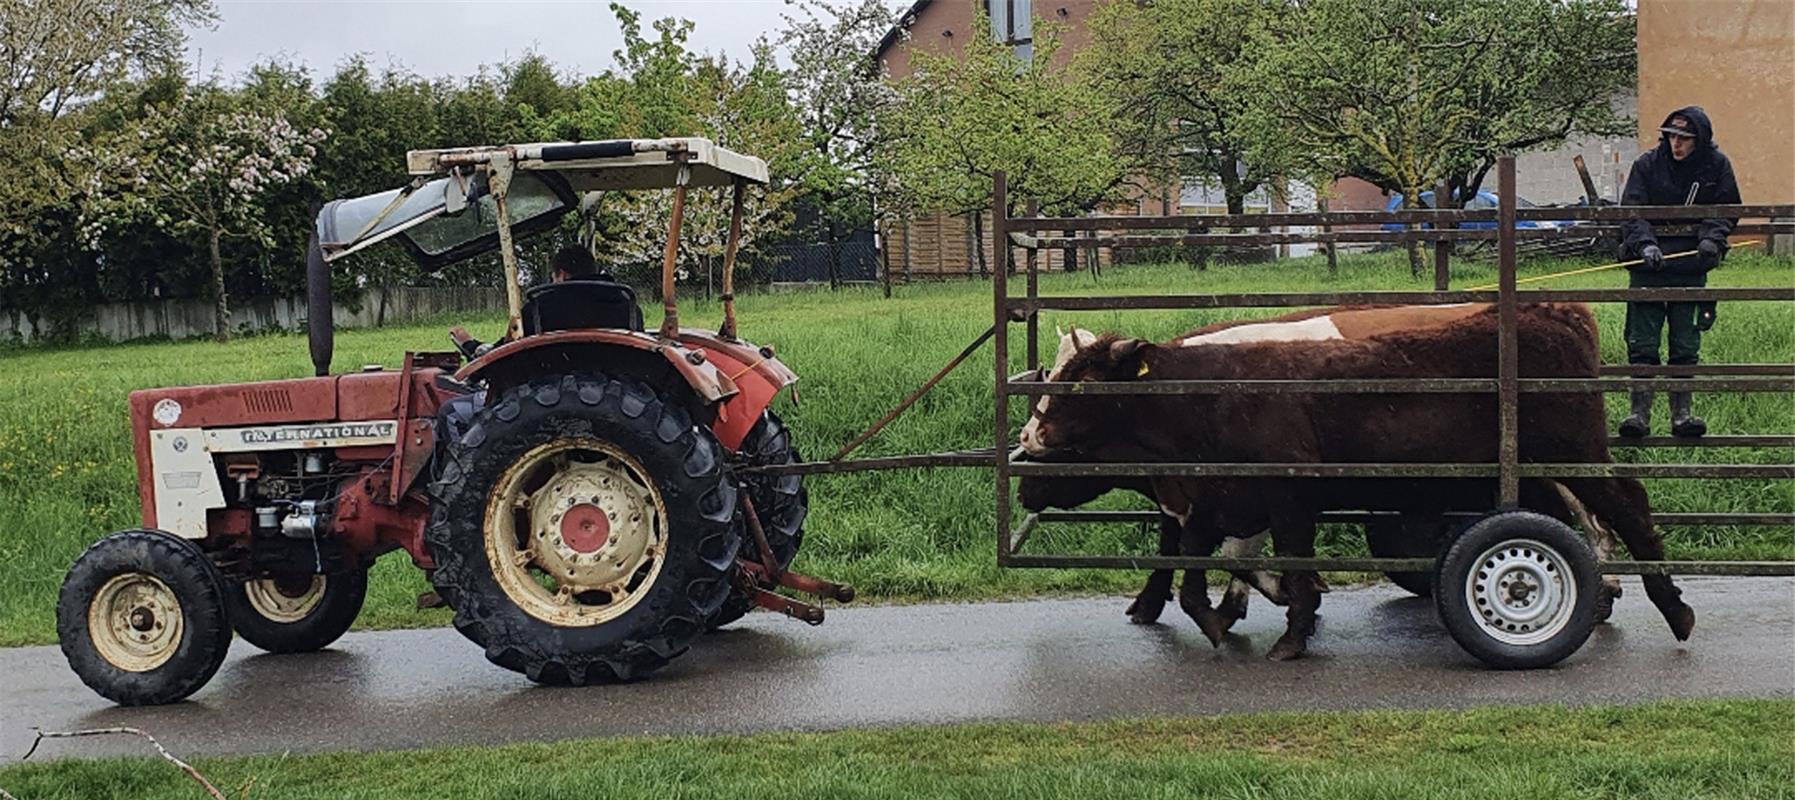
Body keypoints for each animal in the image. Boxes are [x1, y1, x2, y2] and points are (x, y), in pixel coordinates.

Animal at [1019, 303, 1687, 660]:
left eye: (1080, 384)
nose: (1027, 443)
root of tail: (1552, 310)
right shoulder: (1216, 503)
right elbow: (1205, 568)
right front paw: (1222, 615)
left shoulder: (1284, 498)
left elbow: (1277, 562)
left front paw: (1291, 627)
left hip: (1574, 456)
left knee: (1623, 508)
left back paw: (1669, 607)